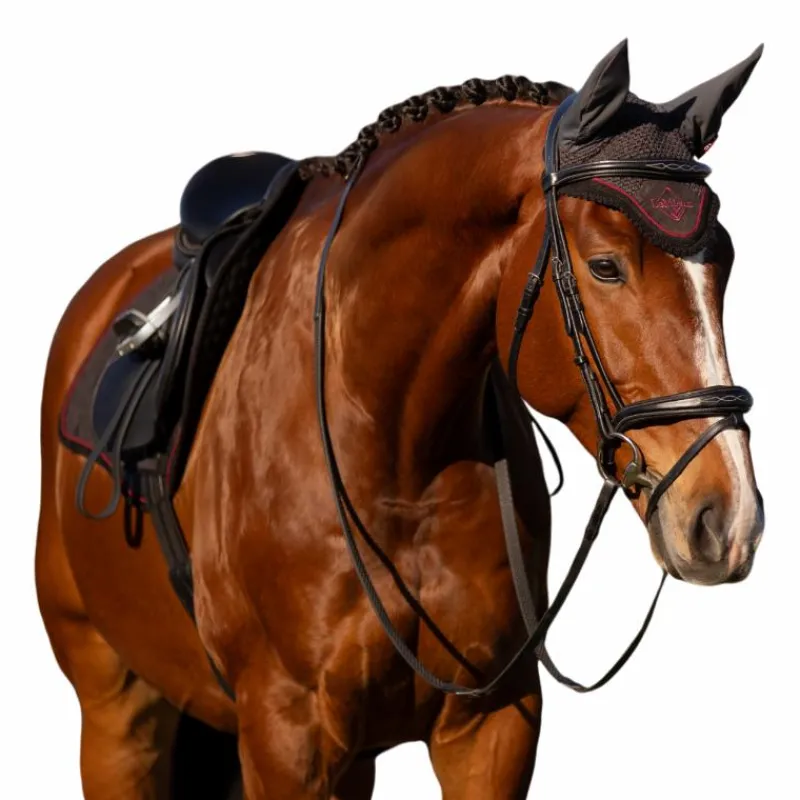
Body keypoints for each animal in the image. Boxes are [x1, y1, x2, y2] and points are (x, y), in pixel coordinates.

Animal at [36, 40, 765, 798]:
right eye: (605, 266)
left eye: (725, 263)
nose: (726, 518)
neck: (394, 455)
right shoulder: (284, 736)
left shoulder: (492, 726)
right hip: (117, 708)